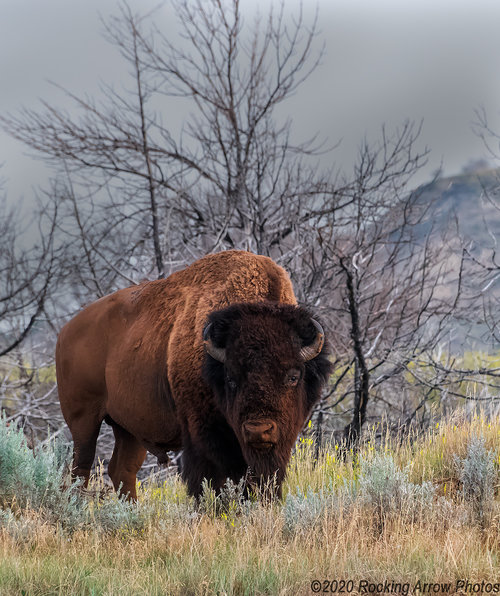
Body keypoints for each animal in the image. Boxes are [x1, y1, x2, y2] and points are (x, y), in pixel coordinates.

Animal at [56, 249, 332, 500]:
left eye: (293, 376)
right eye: (231, 379)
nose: (258, 430)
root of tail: (66, 331)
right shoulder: (202, 432)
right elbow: (210, 482)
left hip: (128, 428)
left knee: (122, 470)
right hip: (84, 421)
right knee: (80, 469)